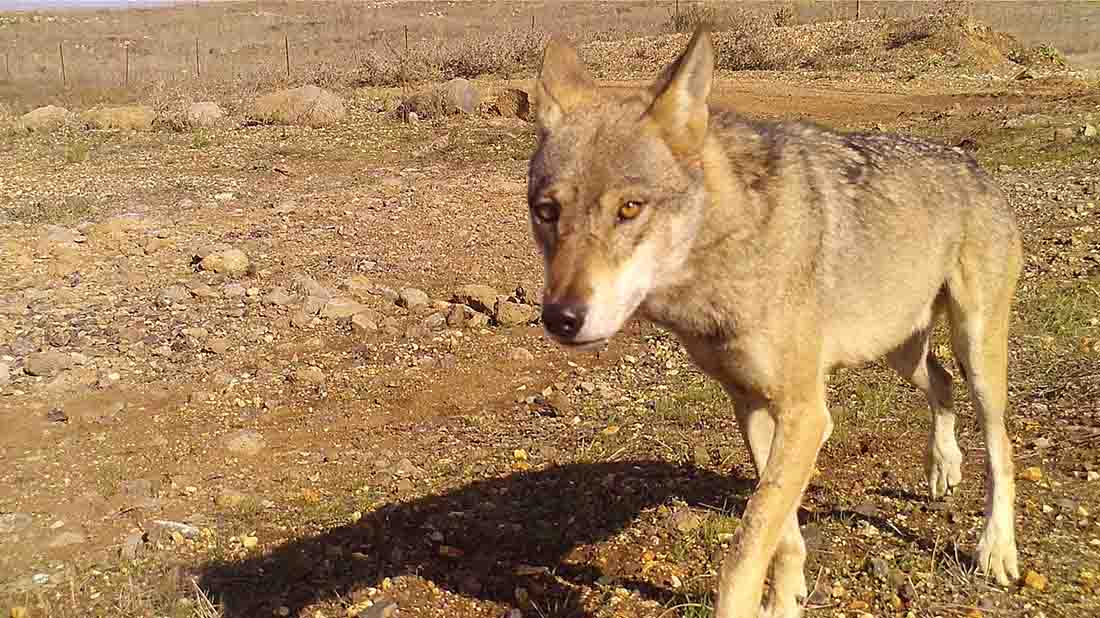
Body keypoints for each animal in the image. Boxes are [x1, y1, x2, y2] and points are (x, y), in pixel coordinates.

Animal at [525, 26, 1023, 618]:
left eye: (629, 208)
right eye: (547, 212)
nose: (560, 317)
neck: (727, 245)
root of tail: (975, 165)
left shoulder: (806, 415)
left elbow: (746, 548)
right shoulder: (752, 407)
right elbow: (780, 531)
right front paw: (788, 596)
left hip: (978, 357)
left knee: (1000, 448)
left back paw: (997, 549)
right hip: (899, 350)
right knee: (941, 384)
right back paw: (943, 467)